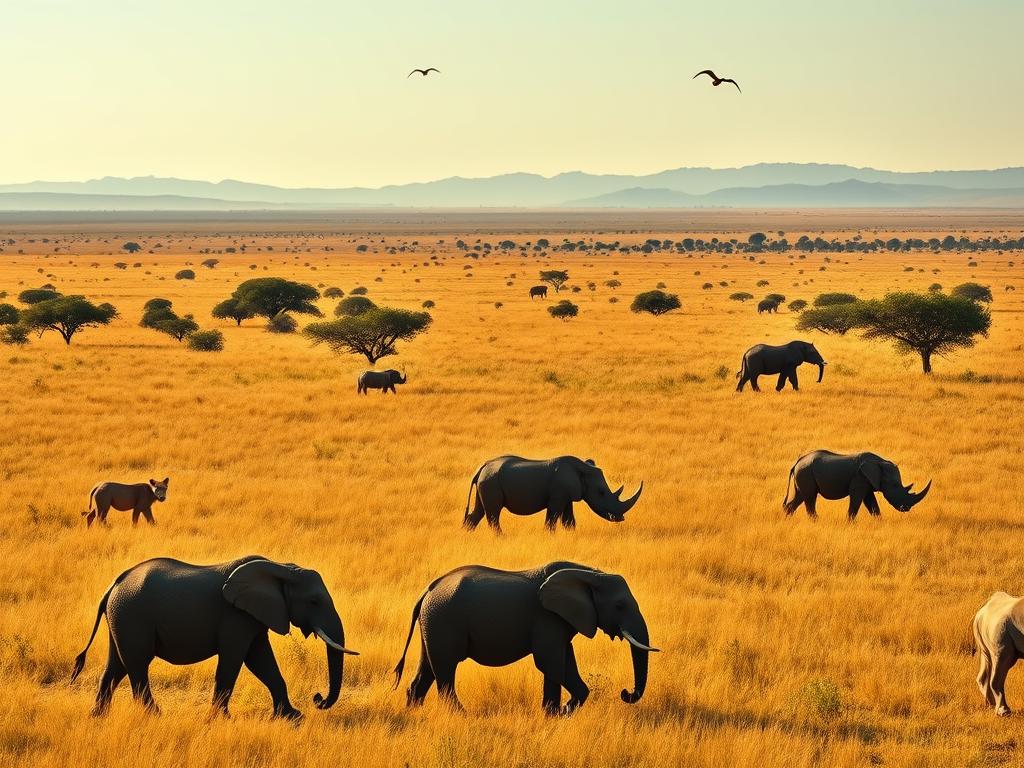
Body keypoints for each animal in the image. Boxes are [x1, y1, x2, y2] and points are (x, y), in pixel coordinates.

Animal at [70, 556, 358, 719]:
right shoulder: (235, 616)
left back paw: (97, 717)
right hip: (132, 615)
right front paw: (221, 719)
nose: (317, 699)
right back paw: (155, 716)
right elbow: (234, 659)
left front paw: (293, 718)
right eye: (313, 601)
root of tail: (113, 586)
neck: (282, 569)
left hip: (121, 618)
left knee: (117, 665)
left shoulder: (253, 616)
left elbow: (262, 660)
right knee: (137, 665)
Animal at [392, 561, 658, 715]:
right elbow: (550, 663)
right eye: (619, 606)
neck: (591, 575)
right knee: (446, 670)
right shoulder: (546, 618)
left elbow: (565, 662)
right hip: (444, 619)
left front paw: (561, 712)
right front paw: (553, 715)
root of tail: (427, 590)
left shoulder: (560, 622)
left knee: (427, 668)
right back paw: (461, 716)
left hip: (433, 623)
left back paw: (413, 714)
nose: (625, 693)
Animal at [462, 455, 643, 532]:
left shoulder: (567, 496)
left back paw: (467, 535)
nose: (620, 518)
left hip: (487, 480)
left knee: (480, 511)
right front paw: (549, 535)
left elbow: (569, 520)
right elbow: (551, 519)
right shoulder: (558, 496)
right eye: (601, 493)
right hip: (491, 481)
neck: (583, 470)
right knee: (493, 514)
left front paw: (570, 535)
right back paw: (502, 537)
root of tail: (481, 469)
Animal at [782, 450, 931, 519]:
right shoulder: (859, 482)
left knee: (801, 496)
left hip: (804, 471)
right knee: (810, 497)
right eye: (894, 486)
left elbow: (873, 506)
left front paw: (879, 522)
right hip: (805, 471)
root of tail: (796, 463)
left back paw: (788, 519)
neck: (880, 463)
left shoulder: (868, 485)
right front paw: (849, 524)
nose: (906, 508)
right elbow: (855, 504)